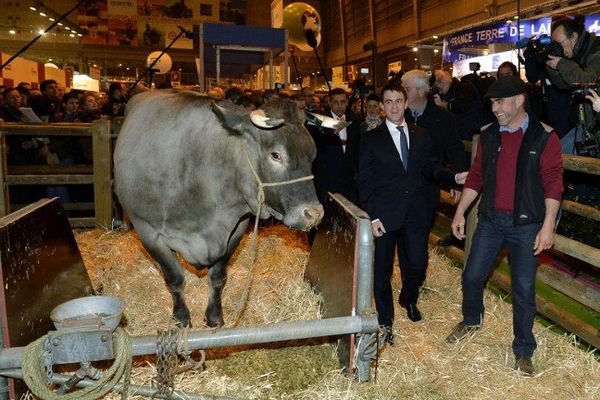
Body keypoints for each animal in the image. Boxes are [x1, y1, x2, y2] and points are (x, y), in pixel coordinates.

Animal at [113, 91, 324, 328]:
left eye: (313, 154)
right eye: (275, 155)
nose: (314, 214)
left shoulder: (236, 229)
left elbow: (218, 277)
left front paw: (214, 317)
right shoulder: (149, 233)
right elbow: (174, 278)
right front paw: (181, 318)